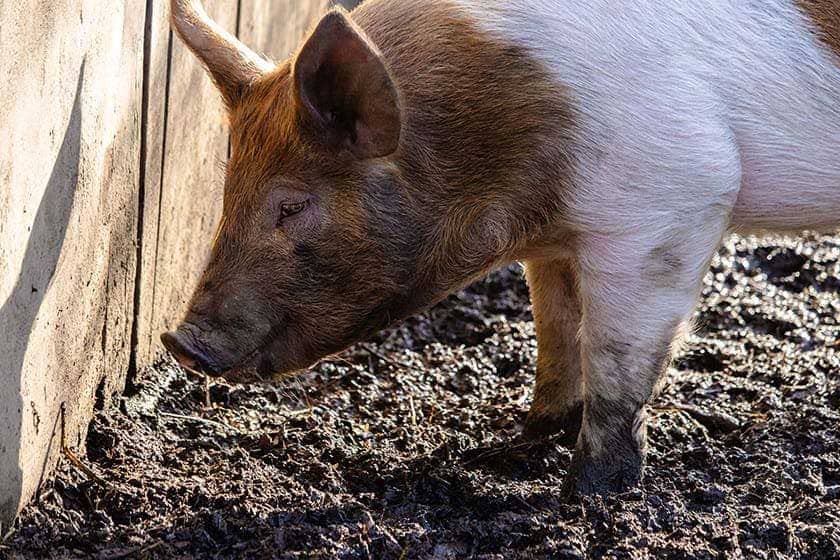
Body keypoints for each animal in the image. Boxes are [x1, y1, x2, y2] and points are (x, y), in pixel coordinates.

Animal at [161, 0, 840, 494]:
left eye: (293, 206)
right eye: (228, 187)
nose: (180, 342)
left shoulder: (674, 199)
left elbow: (616, 352)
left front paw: (585, 492)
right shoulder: (558, 243)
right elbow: (557, 330)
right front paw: (513, 446)